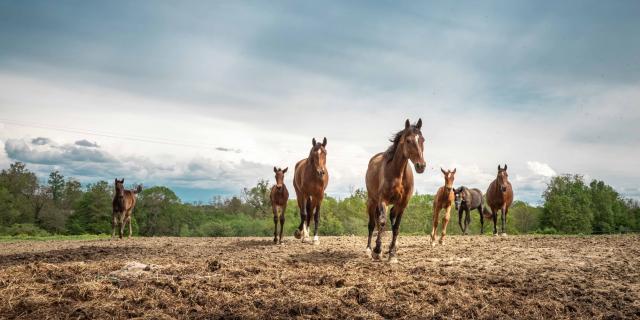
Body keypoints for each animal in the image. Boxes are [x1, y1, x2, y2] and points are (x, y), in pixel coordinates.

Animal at [364, 118, 424, 262]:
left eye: (422, 140)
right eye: (408, 140)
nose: (421, 166)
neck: (398, 174)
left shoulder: (403, 203)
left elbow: (396, 227)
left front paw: (392, 253)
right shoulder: (383, 200)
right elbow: (382, 223)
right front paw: (377, 250)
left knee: (391, 218)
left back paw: (393, 246)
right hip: (372, 201)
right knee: (373, 224)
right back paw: (369, 250)